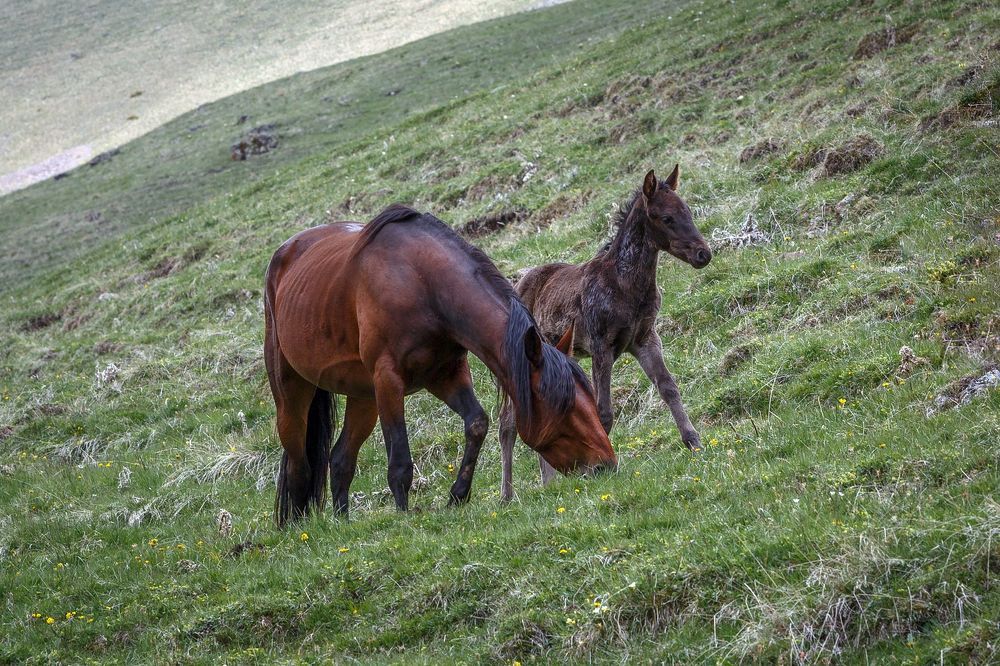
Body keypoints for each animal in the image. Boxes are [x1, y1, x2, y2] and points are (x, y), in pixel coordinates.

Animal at [264, 203, 616, 525]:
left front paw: (457, 495)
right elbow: (400, 462)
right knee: (299, 465)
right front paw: (404, 518)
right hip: (293, 395)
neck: (423, 283)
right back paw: (299, 527)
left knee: (340, 459)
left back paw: (343, 523)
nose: (607, 465)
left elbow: (476, 423)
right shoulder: (388, 381)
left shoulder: (446, 374)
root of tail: (284, 252)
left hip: (363, 397)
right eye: (564, 407)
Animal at [499, 165, 711, 502]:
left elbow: (668, 387)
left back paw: (549, 483)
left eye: (687, 210)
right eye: (666, 218)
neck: (625, 285)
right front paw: (597, 468)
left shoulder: (645, 339)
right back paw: (507, 495)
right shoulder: (602, 346)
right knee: (506, 422)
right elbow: (604, 411)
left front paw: (693, 442)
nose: (704, 254)